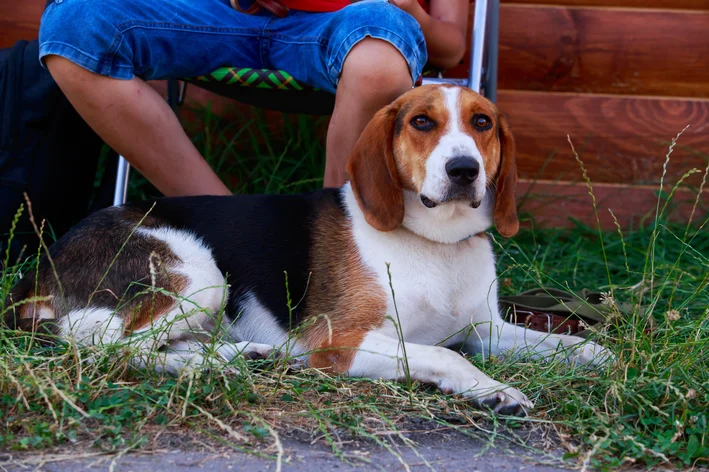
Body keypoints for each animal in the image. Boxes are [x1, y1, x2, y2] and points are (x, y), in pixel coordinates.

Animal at [5, 85, 604, 416]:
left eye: (482, 123)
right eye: (421, 122)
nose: (464, 170)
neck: (436, 244)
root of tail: (41, 268)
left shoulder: (485, 329)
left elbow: (564, 343)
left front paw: (599, 355)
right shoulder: (338, 343)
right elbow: (445, 354)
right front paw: (495, 389)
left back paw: (236, 356)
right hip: (197, 272)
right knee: (107, 349)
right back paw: (216, 363)